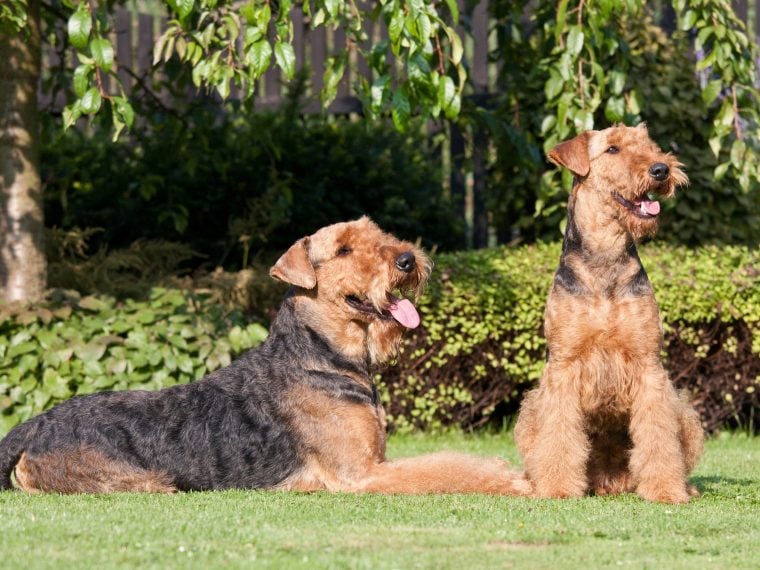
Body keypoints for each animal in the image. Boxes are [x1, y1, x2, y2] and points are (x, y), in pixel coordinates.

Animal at [0, 217, 532, 492]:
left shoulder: (372, 461)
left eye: (376, 233)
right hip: (146, 482)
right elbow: (446, 468)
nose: (406, 260)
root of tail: (30, 426)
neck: (321, 355)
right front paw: (508, 477)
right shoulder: (359, 474)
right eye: (342, 250)